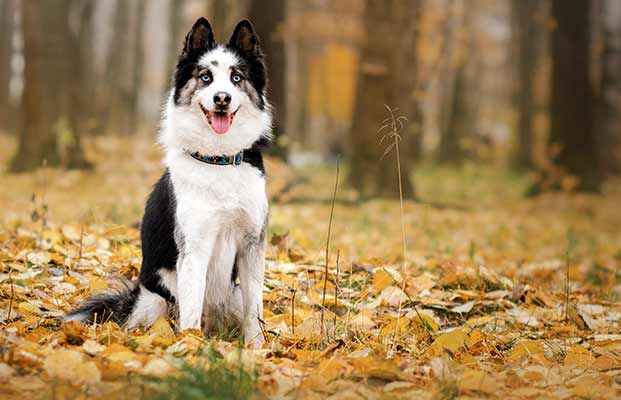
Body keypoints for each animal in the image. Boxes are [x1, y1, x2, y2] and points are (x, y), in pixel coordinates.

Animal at [66, 17, 272, 346]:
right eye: (205, 77)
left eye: (237, 78)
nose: (222, 99)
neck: (218, 159)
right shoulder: (195, 247)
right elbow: (192, 307)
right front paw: (191, 345)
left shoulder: (253, 244)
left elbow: (256, 310)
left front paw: (257, 348)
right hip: (154, 301)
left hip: (232, 294)